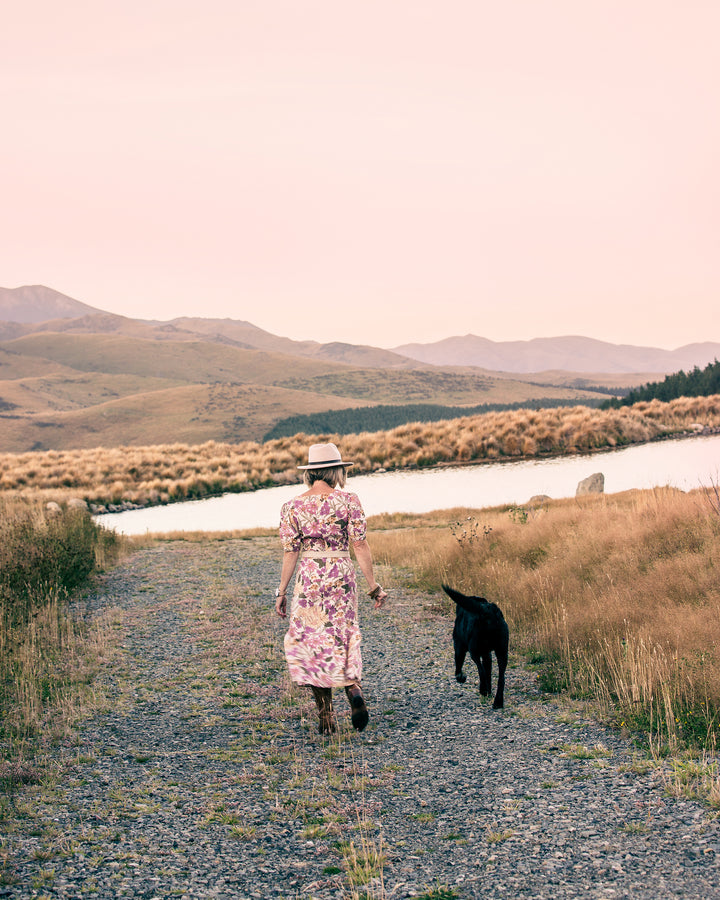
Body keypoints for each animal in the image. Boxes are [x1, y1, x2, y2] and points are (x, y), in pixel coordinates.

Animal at [442, 584, 510, 712]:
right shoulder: (487, 655)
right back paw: (498, 702)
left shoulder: (459, 646)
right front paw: (489, 692)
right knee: (501, 678)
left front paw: (461, 678)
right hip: (502, 652)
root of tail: (486, 610)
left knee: (480, 670)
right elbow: (488, 672)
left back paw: (483, 690)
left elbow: (458, 668)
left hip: (474, 650)